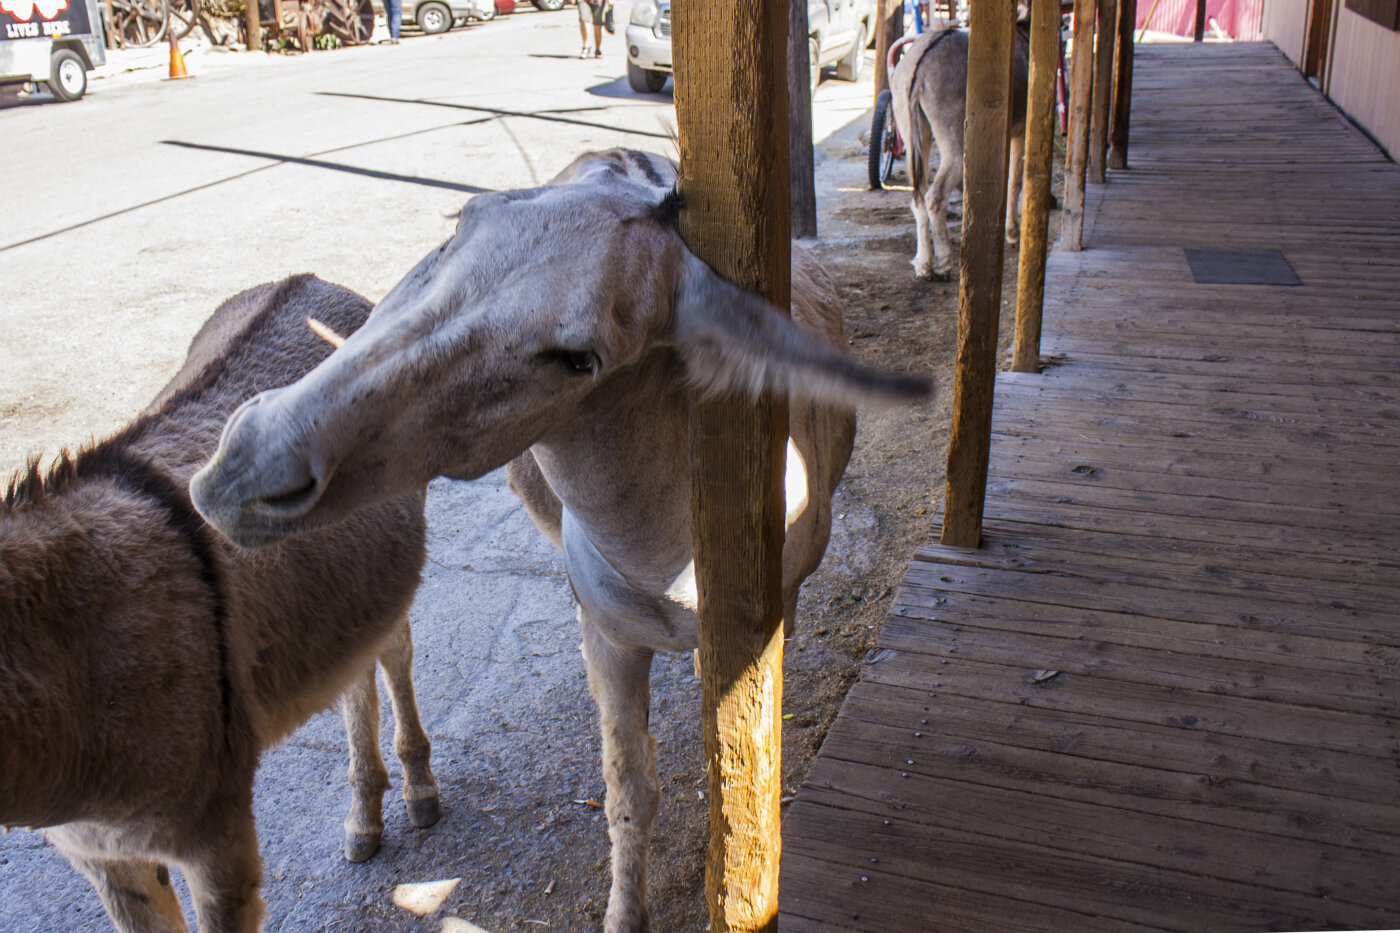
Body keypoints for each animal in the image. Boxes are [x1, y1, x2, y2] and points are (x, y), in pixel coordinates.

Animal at [0, 275, 439, 932]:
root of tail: (310, 279)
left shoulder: (215, 828)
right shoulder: (103, 856)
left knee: (395, 657)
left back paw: (418, 791)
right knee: (355, 674)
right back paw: (364, 817)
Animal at [188, 149, 930, 932]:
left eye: (579, 358)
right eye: (456, 229)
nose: (247, 463)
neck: (665, 559)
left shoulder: (765, 617)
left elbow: (740, 766)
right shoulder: (606, 634)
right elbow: (630, 792)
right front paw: (625, 917)